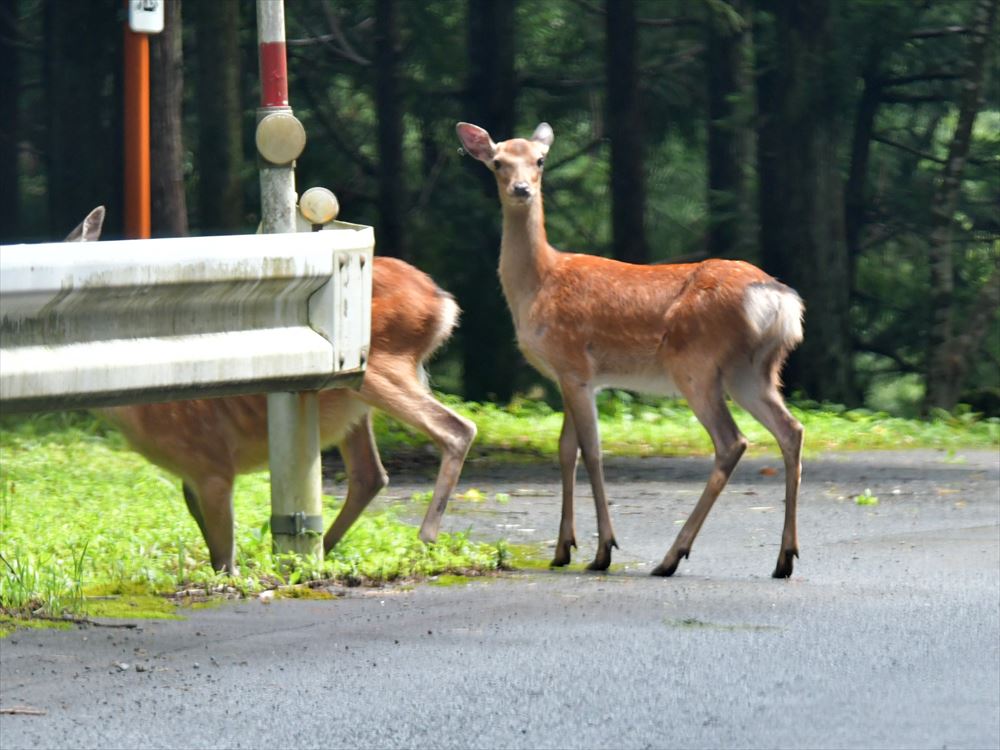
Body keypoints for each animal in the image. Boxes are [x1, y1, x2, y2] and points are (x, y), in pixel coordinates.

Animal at [66, 209, 476, 572]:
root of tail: (442, 301)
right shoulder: (193, 473)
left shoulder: (211, 461)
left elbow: (223, 550)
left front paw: (229, 578)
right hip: (354, 397)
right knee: (370, 474)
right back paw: (320, 551)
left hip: (378, 364)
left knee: (456, 429)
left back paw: (425, 537)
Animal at [456, 125, 804, 580]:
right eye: (498, 162)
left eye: (540, 160)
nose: (521, 189)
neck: (538, 284)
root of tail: (779, 301)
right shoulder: (571, 375)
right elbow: (565, 450)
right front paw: (562, 549)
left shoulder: (574, 363)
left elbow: (592, 451)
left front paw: (602, 550)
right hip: (752, 371)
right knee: (791, 430)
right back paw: (784, 558)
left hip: (695, 364)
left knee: (732, 441)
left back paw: (672, 556)